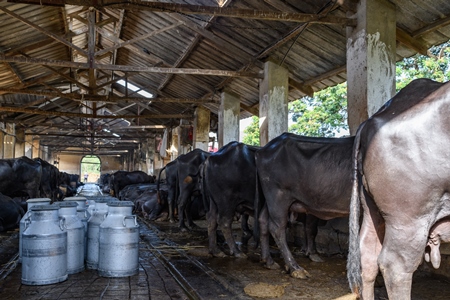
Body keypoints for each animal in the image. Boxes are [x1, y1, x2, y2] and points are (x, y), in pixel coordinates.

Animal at [255, 133, 354, 278]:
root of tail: (263, 150)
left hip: (271, 200)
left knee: (263, 220)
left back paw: (268, 261)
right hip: (278, 196)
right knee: (277, 228)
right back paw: (295, 268)